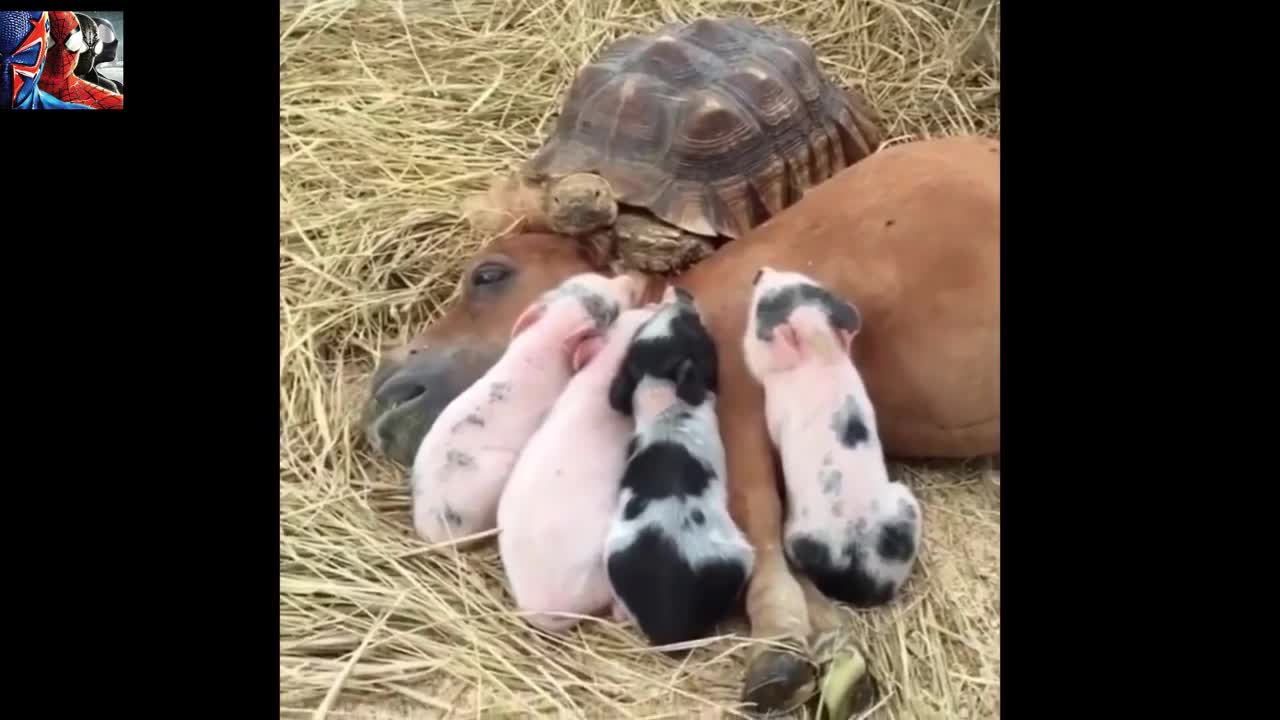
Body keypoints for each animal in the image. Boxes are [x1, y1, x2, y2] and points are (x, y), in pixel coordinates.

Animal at [360, 131, 998, 707]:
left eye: (489, 274)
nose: (384, 394)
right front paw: (830, 656)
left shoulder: (736, 406)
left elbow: (758, 522)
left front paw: (779, 656)